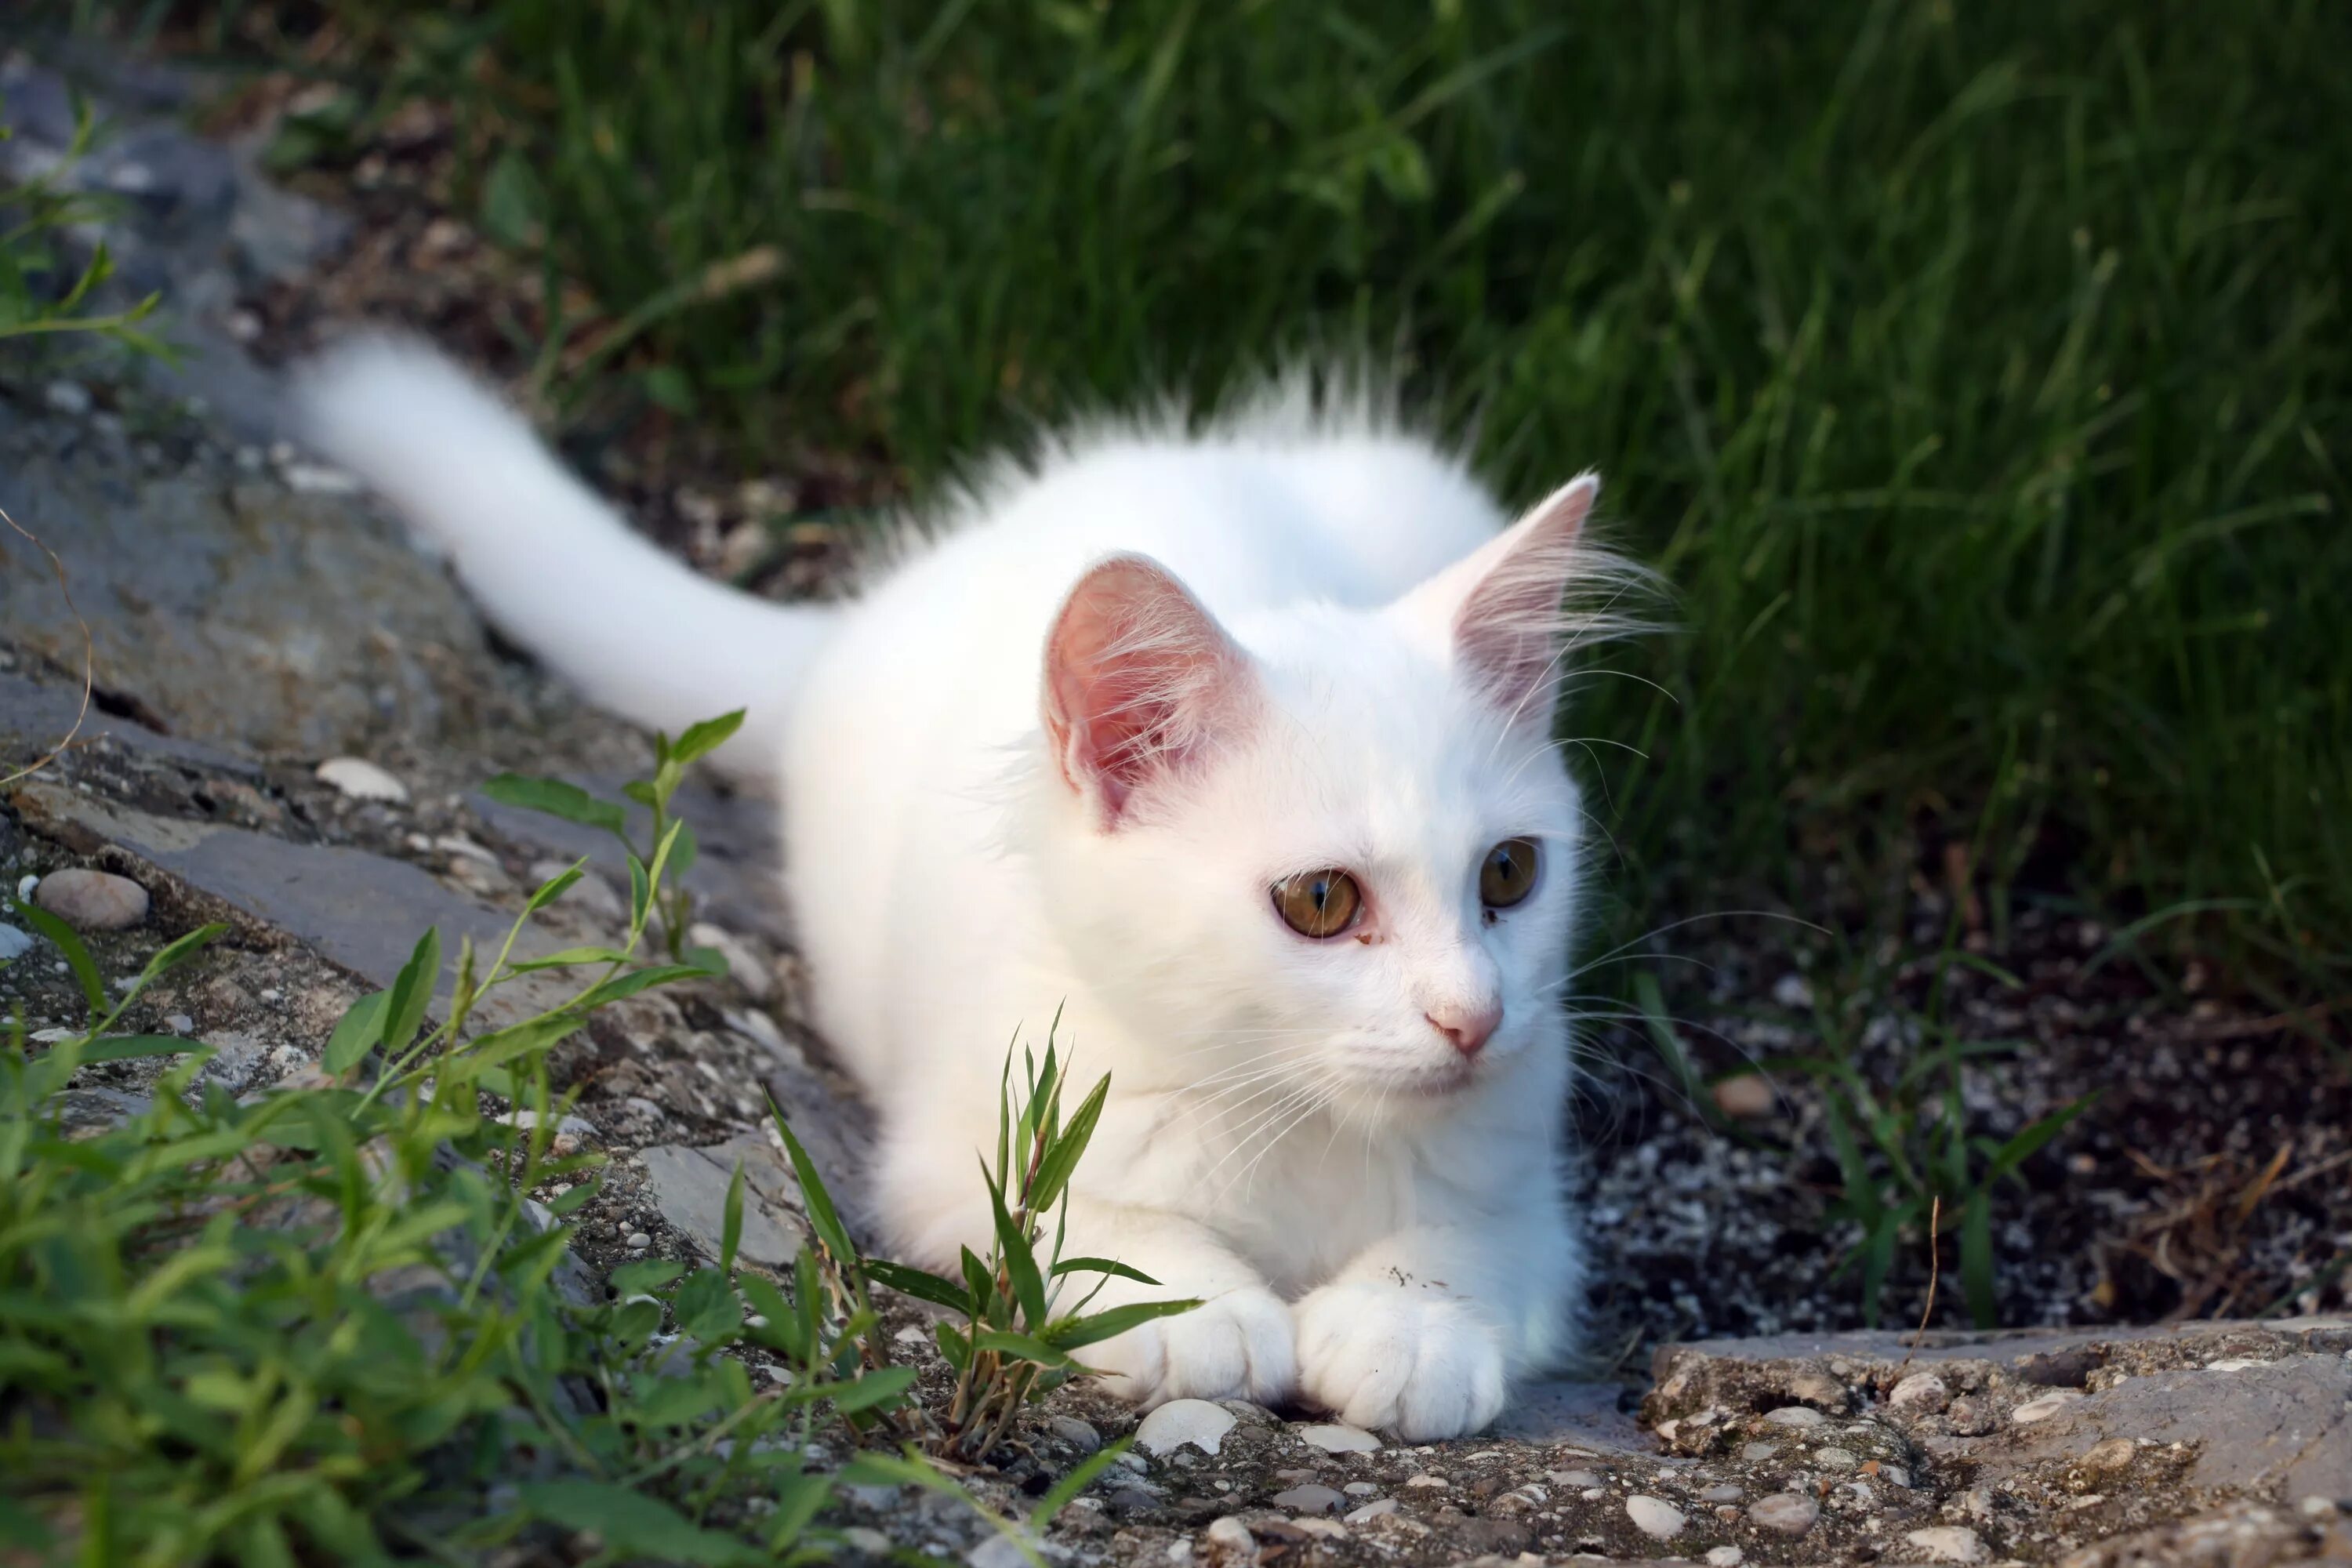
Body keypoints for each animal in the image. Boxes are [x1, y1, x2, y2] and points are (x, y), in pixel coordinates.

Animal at [303, 340, 1637, 1439]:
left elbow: (1459, 1247)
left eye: (1511, 875)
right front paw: (1198, 1309)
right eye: (1321, 902)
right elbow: (1095, 1225)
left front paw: (1406, 1331)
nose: (1473, 1018)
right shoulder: (961, 1151)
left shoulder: (1531, 1193)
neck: (1288, 1113)